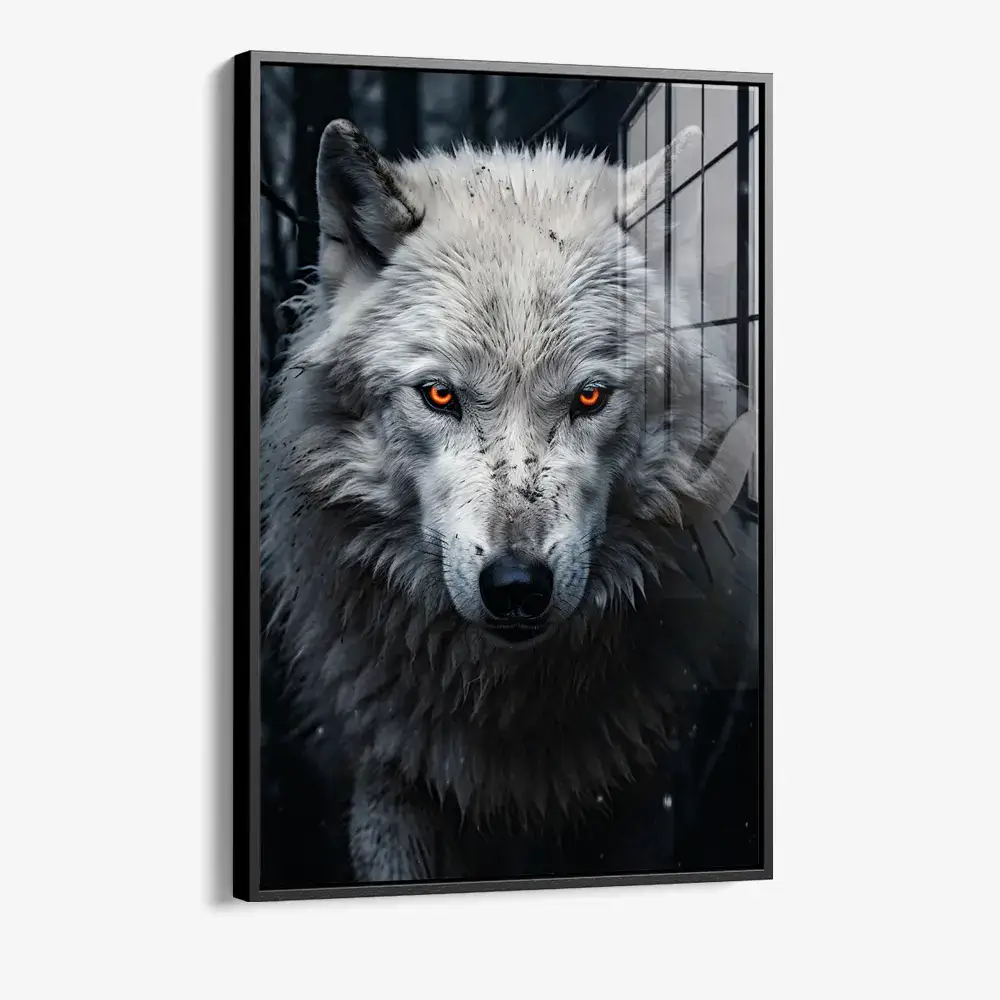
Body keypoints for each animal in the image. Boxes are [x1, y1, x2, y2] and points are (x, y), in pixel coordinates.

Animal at [260, 118, 756, 882]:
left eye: (590, 397)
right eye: (440, 395)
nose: (517, 586)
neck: (509, 710)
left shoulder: (644, 802)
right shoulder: (389, 790)